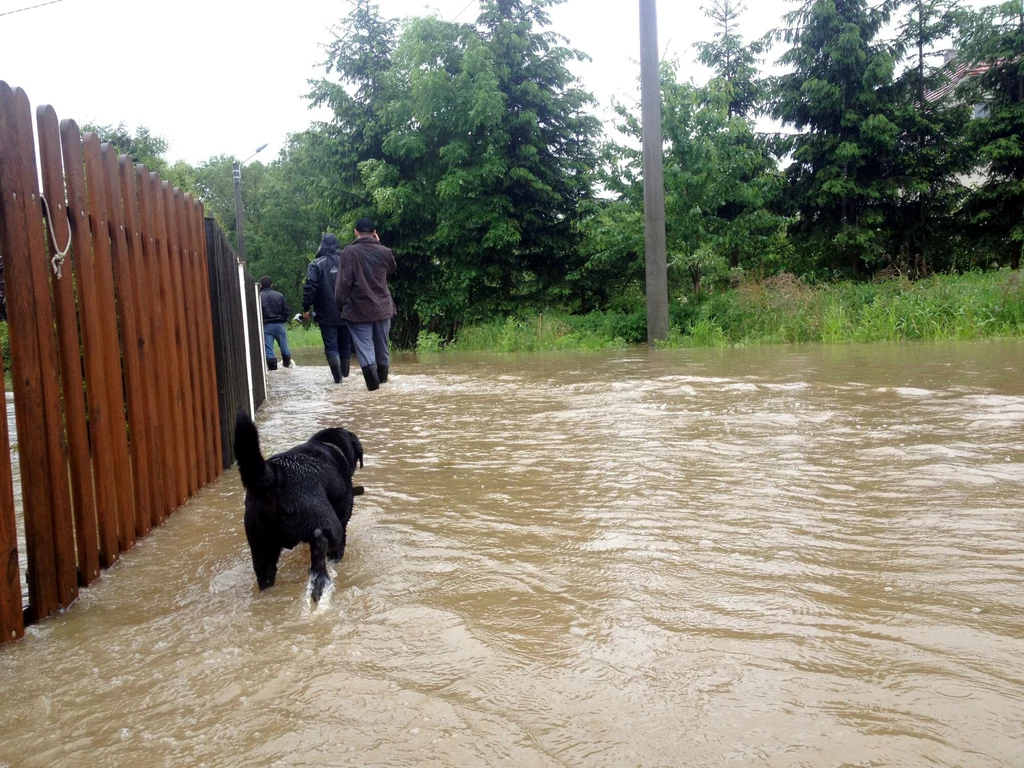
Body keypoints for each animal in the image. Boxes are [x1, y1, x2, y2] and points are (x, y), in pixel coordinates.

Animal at [234, 411, 362, 606]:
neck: (329, 446)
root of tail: (275, 475)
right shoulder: (342, 521)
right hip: (327, 522)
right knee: (320, 544)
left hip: (260, 545)